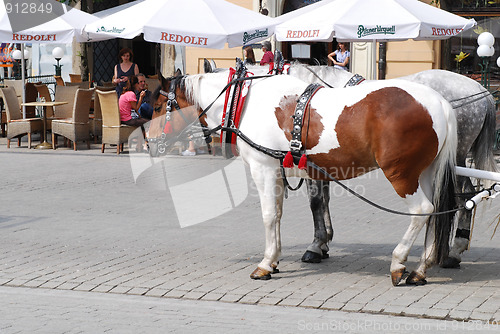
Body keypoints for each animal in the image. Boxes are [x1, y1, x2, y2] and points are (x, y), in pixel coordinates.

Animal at [154, 72, 458, 284]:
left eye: (158, 105)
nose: (151, 142)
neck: (245, 102)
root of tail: (439, 102)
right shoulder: (276, 172)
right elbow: (277, 215)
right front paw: (274, 260)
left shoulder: (263, 169)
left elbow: (268, 216)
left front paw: (264, 264)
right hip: (425, 173)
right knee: (435, 212)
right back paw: (420, 269)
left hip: (401, 175)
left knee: (422, 210)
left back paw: (398, 262)